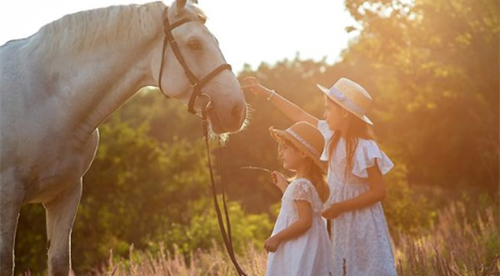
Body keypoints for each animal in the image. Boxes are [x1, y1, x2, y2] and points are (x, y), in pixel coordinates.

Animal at [0, 0, 247, 274]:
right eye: (194, 44)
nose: (237, 110)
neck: (48, 98)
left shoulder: (65, 194)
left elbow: (60, 262)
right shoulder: (8, 196)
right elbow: (6, 262)